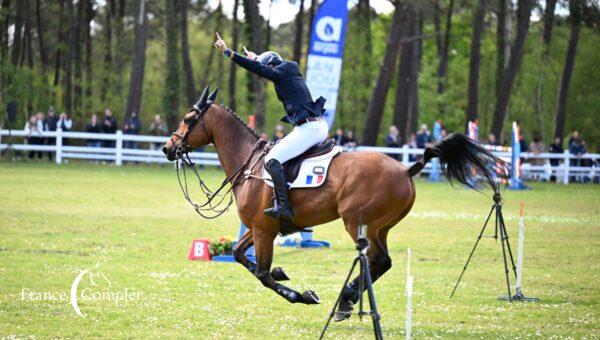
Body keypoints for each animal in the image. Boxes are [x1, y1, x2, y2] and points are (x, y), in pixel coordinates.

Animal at [163, 88, 506, 316]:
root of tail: (405, 169)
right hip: (380, 227)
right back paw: (347, 300)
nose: (168, 148)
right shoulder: (262, 228)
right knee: (381, 262)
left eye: (188, 118)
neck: (251, 162)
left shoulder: (263, 230)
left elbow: (261, 273)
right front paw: (283, 273)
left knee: (379, 260)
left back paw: (345, 300)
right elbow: (238, 254)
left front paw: (300, 294)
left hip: (357, 223)